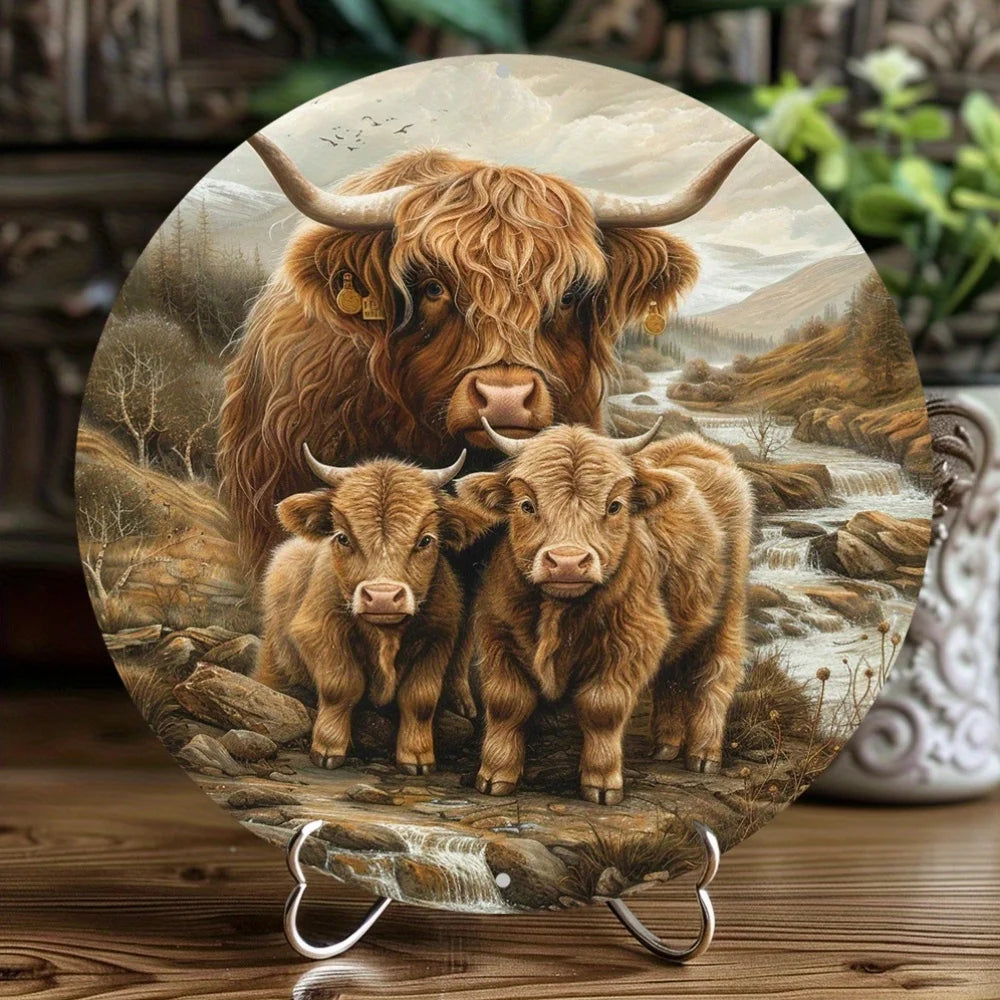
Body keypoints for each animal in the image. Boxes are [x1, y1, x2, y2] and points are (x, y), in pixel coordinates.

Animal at [254, 446, 489, 773]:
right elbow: (341, 686)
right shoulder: (319, 632)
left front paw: (417, 756)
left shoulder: (438, 639)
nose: (382, 597)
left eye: (426, 540)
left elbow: (420, 698)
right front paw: (328, 748)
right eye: (342, 537)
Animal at [456, 418, 753, 805]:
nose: (567, 562)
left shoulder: (632, 641)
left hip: (727, 614)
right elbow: (508, 703)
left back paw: (703, 756)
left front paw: (601, 783)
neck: (560, 611)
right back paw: (665, 747)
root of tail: (697, 447)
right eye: (526, 504)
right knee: (670, 679)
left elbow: (602, 708)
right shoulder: (497, 634)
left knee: (714, 678)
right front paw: (495, 776)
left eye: (614, 506)